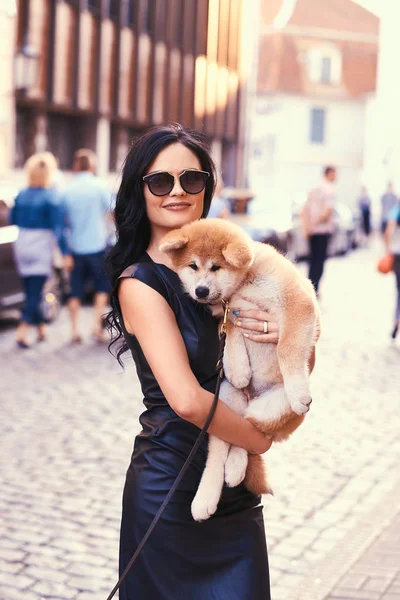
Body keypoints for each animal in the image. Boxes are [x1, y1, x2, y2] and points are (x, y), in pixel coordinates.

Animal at [159, 217, 322, 520]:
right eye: (192, 266)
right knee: (221, 446)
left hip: (268, 412)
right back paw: (207, 495)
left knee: (250, 433)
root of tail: (252, 398)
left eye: (216, 267)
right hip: (224, 398)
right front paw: (237, 368)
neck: (242, 286)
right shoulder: (223, 314)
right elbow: (232, 327)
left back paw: (234, 468)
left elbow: (286, 348)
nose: (200, 291)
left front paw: (298, 391)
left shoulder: (298, 304)